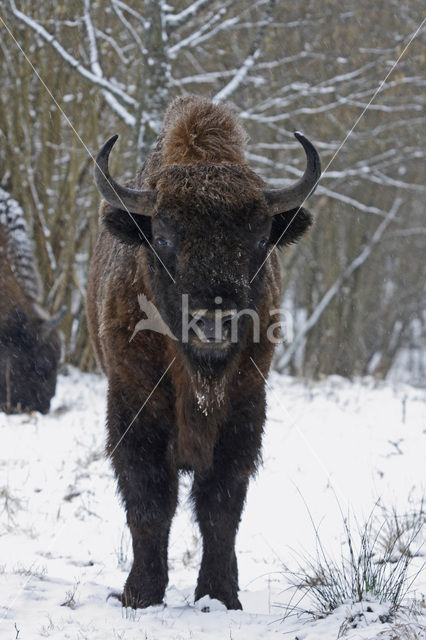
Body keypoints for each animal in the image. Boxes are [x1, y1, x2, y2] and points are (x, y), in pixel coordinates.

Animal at [87, 95, 320, 608]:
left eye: (259, 239)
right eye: (164, 237)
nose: (213, 322)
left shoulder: (245, 410)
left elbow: (221, 505)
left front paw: (220, 595)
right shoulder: (133, 407)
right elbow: (150, 501)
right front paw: (141, 594)